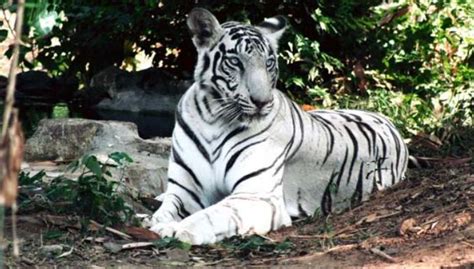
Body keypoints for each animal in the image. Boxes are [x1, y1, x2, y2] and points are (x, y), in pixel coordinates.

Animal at [150, 8, 410, 244]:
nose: (262, 102)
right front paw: (159, 223)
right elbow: (165, 211)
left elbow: (212, 214)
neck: (214, 118)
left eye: (269, 63)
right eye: (235, 61)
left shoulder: (257, 196)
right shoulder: (185, 192)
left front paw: (181, 229)